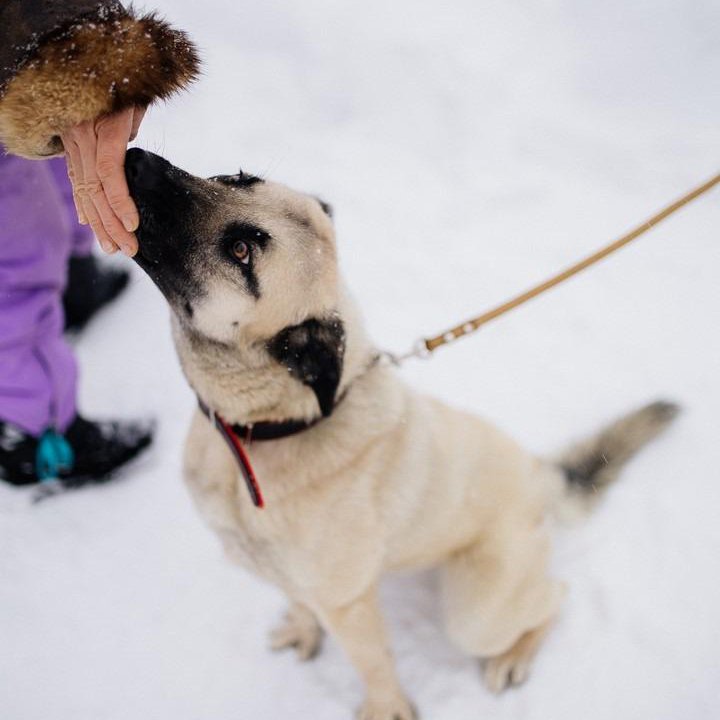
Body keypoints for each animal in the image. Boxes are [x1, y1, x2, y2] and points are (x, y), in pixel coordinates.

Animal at [125, 148, 680, 720]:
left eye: (241, 252)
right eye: (236, 177)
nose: (136, 159)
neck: (268, 428)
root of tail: (540, 475)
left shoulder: (346, 602)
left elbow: (373, 663)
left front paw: (385, 707)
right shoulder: (278, 571)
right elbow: (299, 603)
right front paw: (303, 630)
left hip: (476, 615)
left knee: (556, 596)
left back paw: (513, 657)